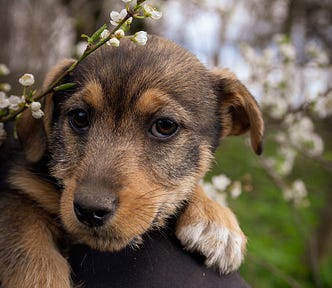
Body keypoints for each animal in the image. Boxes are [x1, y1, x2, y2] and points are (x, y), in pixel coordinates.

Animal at [0, 36, 264, 288]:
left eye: (165, 125)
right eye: (80, 117)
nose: (90, 210)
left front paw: (215, 220)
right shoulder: (16, 189)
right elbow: (31, 252)